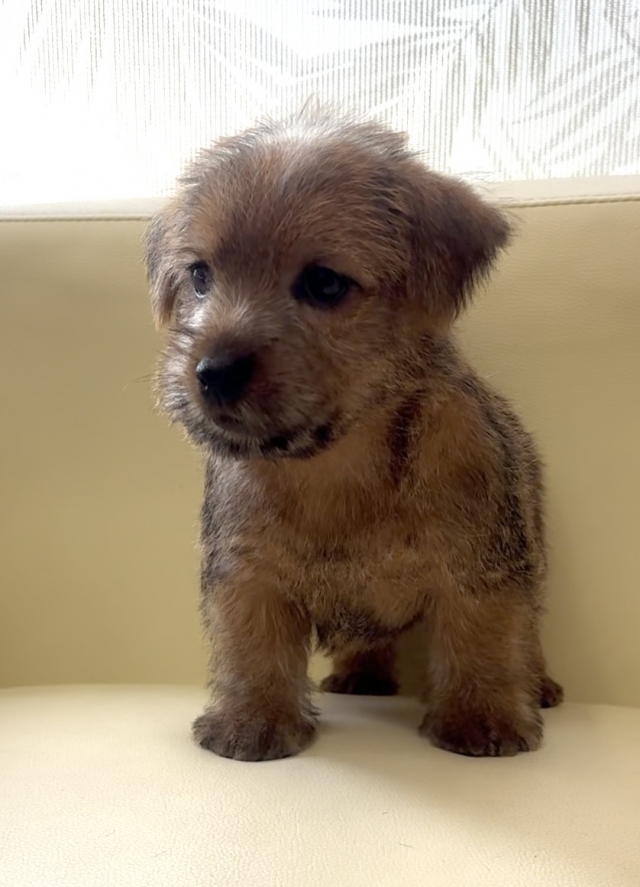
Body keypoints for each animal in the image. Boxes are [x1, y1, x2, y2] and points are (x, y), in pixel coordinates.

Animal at [145, 110, 563, 762]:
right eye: (199, 275)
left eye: (324, 284)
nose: (212, 372)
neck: (334, 467)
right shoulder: (246, 572)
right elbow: (251, 645)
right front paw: (251, 719)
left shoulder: (481, 562)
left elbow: (484, 634)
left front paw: (482, 717)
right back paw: (360, 673)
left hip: (532, 547)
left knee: (530, 628)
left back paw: (538, 684)